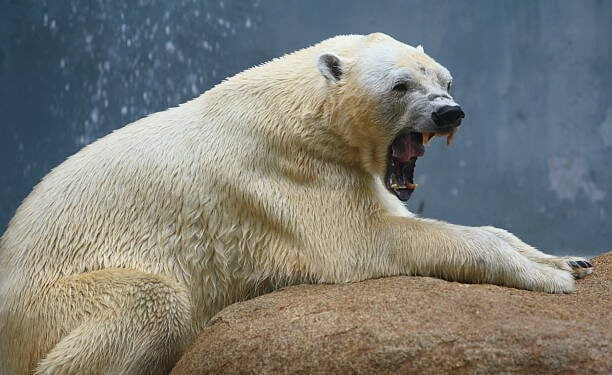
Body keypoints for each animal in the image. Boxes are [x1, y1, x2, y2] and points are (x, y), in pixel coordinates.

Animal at [0, 33, 592, 374]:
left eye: (446, 78)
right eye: (401, 85)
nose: (450, 111)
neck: (299, 113)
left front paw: (568, 258)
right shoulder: (287, 172)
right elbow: (367, 240)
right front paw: (547, 276)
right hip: (42, 303)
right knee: (151, 303)